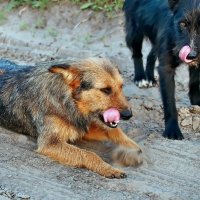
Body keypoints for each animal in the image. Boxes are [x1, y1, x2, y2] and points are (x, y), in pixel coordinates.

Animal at [0, 57, 142, 178]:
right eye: (105, 90)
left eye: (121, 86)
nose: (128, 115)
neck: (68, 100)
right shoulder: (50, 143)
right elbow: (88, 154)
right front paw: (108, 168)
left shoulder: (82, 126)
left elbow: (113, 131)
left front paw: (133, 149)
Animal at [123, 0, 200, 140]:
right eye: (182, 24)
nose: (191, 55)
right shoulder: (166, 69)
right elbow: (170, 103)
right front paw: (172, 130)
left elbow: (195, 82)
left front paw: (196, 103)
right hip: (134, 29)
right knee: (137, 54)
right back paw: (140, 77)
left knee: (151, 54)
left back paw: (150, 77)